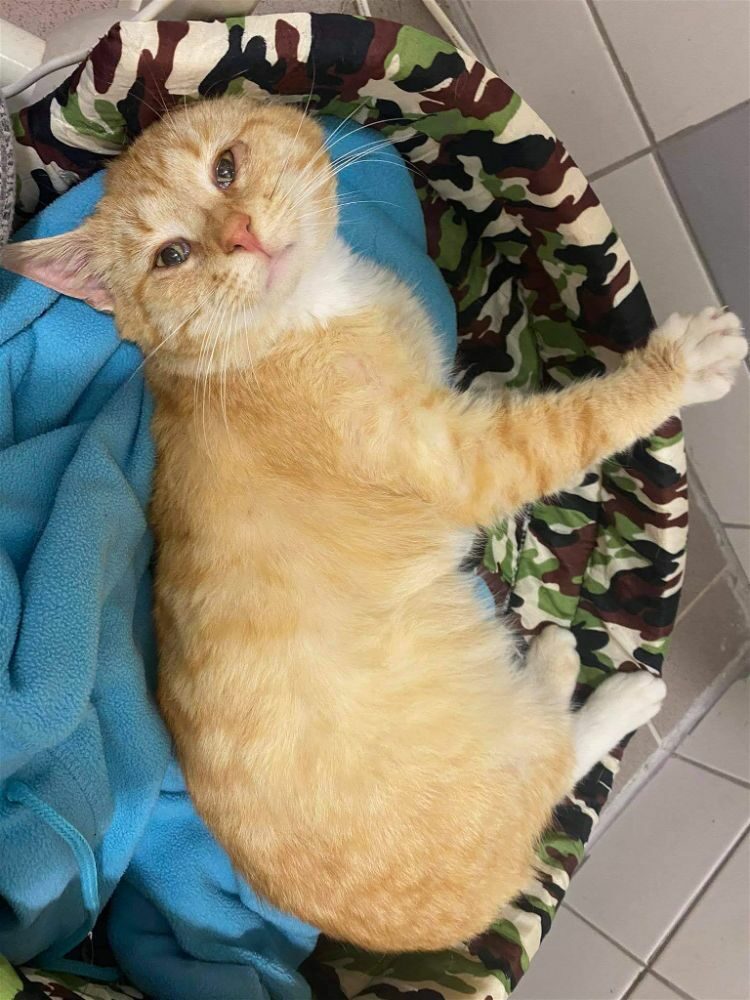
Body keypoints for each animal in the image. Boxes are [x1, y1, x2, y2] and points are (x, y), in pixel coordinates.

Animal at [3, 95, 746, 952]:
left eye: (225, 168)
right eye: (173, 255)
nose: (242, 233)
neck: (304, 317)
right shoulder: (463, 460)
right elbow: (570, 423)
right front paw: (680, 367)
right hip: (500, 747)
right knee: (553, 765)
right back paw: (594, 686)